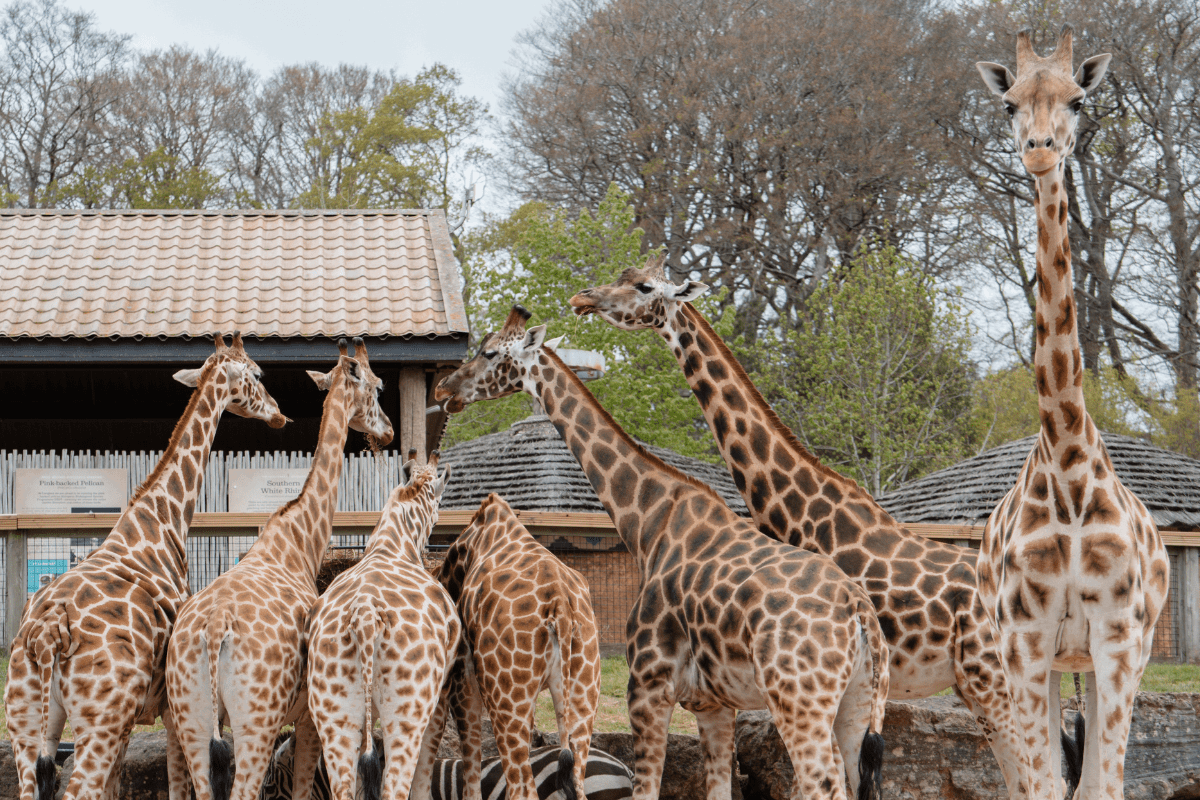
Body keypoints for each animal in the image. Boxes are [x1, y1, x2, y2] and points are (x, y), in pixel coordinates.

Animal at [4, 332, 288, 800]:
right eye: (259, 374)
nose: (279, 414)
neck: (160, 522)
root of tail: (47, 634)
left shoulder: (130, 722)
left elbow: (117, 787)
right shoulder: (171, 703)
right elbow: (178, 781)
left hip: (27, 724)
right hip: (98, 720)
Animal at [165, 337, 395, 800]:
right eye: (378, 386)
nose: (390, 431)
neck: (299, 540)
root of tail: (215, 627)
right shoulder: (307, 718)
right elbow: (305, 787)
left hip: (192, 722)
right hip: (257, 722)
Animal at [306, 453, 457, 800]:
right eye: (441, 500)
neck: (395, 543)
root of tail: (365, 615)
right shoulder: (439, 698)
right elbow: (422, 780)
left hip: (333, 715)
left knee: (343, 788)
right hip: (407, 713)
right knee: (394, 788)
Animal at [433, 492, 602, 800]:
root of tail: (560, 605)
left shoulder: (465, 681)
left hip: (507, 699)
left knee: (521, 787)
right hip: (583, 692)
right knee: (577, 779)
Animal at [975, 27, 1170, 800]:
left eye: (1079, 100)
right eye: (1009, 105)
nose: (1039, 149)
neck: (1067, 464)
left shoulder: (1119, 641)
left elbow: (1101, 787)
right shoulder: (1025, 645)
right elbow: (1044, 787)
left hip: (1106, 660)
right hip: (1042, 662)